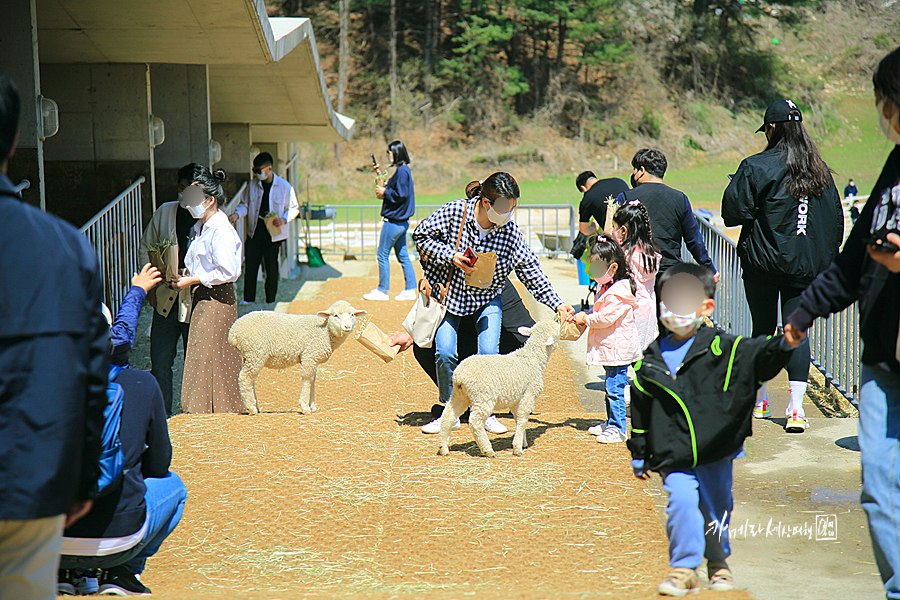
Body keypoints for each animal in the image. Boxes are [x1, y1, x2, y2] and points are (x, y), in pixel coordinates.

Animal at [229, 302, 366, 414]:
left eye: (352, 315)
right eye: (336, 315)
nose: (347, 327)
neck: (325, 331)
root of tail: (233, 331)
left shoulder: (313, 359)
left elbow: (312, 380)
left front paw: (312, 406)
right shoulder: (310, 355)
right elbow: (307, 379)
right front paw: (305, 407)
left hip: (250, 356)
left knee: (250, 379)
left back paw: (255, 405)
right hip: (255, 353)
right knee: (245, 378)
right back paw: (251, 407)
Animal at [440, 322, 560, 458]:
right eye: (557, 331)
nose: (559, 322)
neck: (532, 358)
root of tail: (459, 375)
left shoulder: (516, 399)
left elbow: (517, 418)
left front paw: (522, 442)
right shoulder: (529, 393)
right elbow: (523, 419)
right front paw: (518, 448)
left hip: (459, 395)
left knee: (448, 415)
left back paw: (443, 448)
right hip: (483, 396)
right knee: (475, 422)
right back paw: (487, 450)